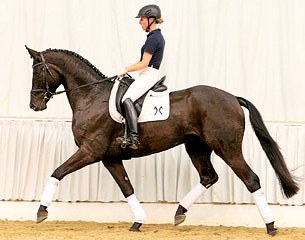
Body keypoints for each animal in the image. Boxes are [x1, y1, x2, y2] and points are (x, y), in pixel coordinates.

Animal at [25, 46, 296, 235]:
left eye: (37, 70)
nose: (34, 105)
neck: (92, 96)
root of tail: (232, 98)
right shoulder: (109, 157)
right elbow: (127, 188)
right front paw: (138, 222)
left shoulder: (91, 151)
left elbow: (57, 171)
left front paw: (41, 211)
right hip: (196, 146)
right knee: (209, 177)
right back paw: (179, 212)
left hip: (227, 148)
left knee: (251, 179)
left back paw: (271, 226)